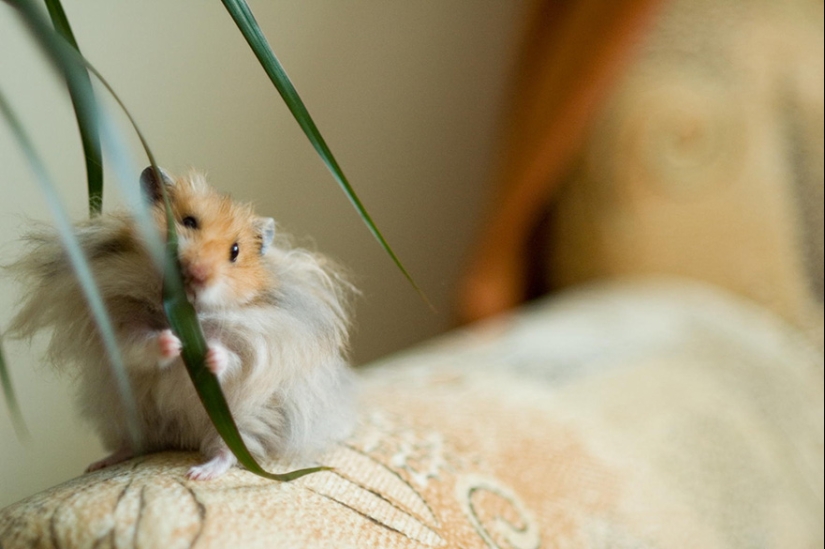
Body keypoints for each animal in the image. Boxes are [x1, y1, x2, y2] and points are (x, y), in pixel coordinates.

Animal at [7, 167, 354, 480]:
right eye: (188, 222)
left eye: (235, 251)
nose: (199, 273)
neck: (183, 312)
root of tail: (181, 438)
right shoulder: (120, 327)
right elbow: (138, 345)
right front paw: (172, 343)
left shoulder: (254, 343)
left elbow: (232, 358)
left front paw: (207, 354)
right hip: (123, 413)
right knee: (135, 445)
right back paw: (101, 464)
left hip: (245, 418)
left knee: (226, 452)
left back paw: (200, 474)